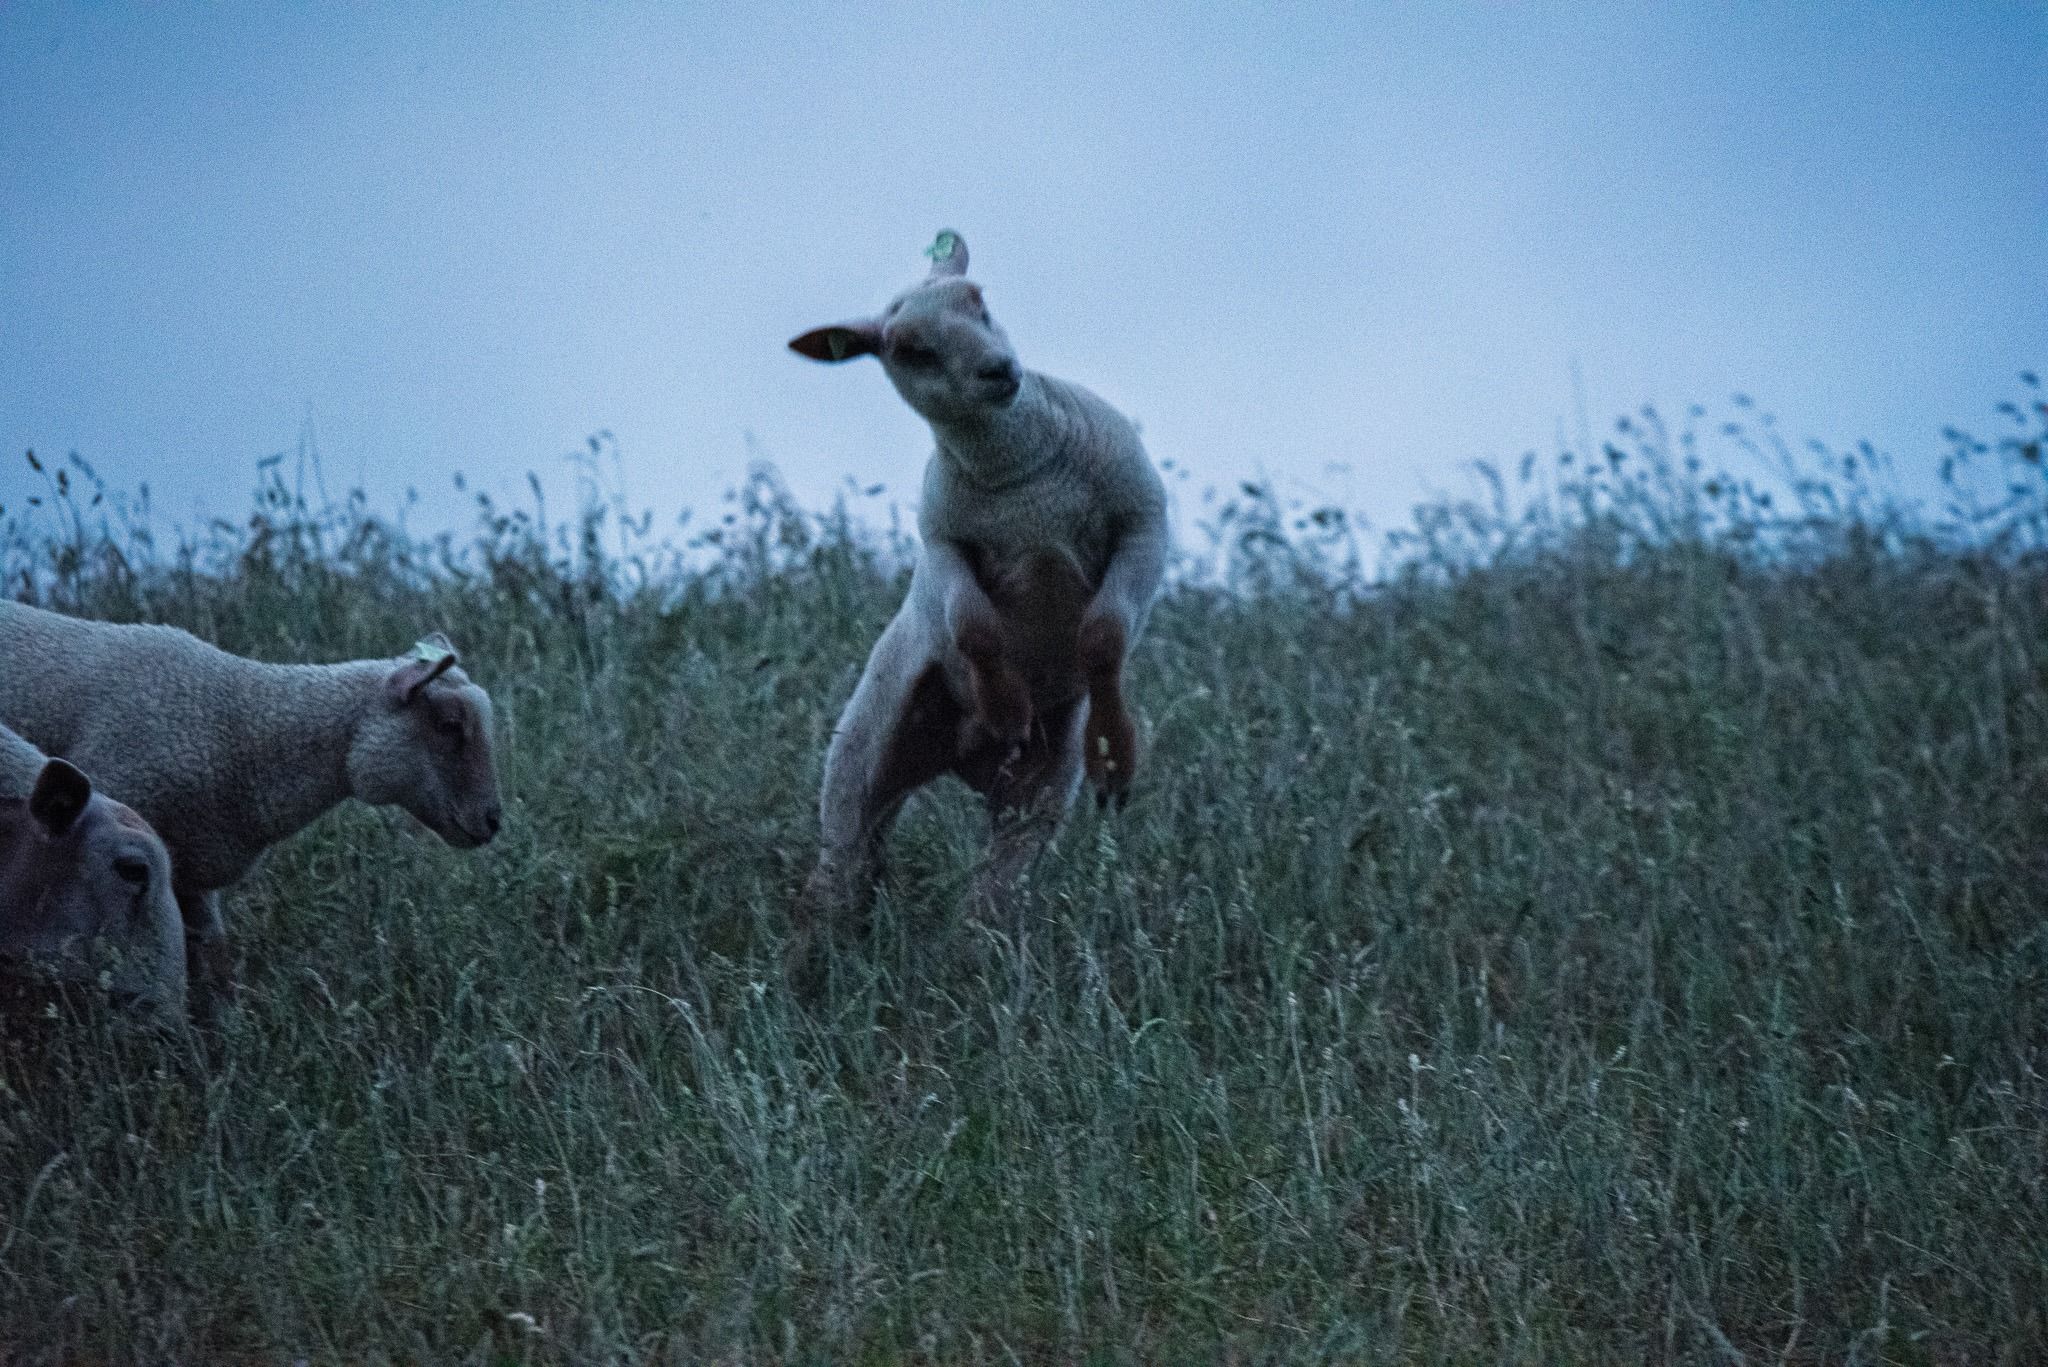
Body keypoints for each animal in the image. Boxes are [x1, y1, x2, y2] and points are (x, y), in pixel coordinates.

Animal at [788, 230, 1169, 941]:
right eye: (912, 349)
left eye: (979, 301)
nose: (998, 370)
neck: (1022, 475)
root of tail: (961, 756)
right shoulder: (943, 546)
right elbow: (975, 628)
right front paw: (1006, 708)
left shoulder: (1144, 521)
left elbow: (1103, 638)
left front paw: (1112, 752)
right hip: (860, 759)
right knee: (839, 871)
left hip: (1037, 795)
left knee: (989, 899)